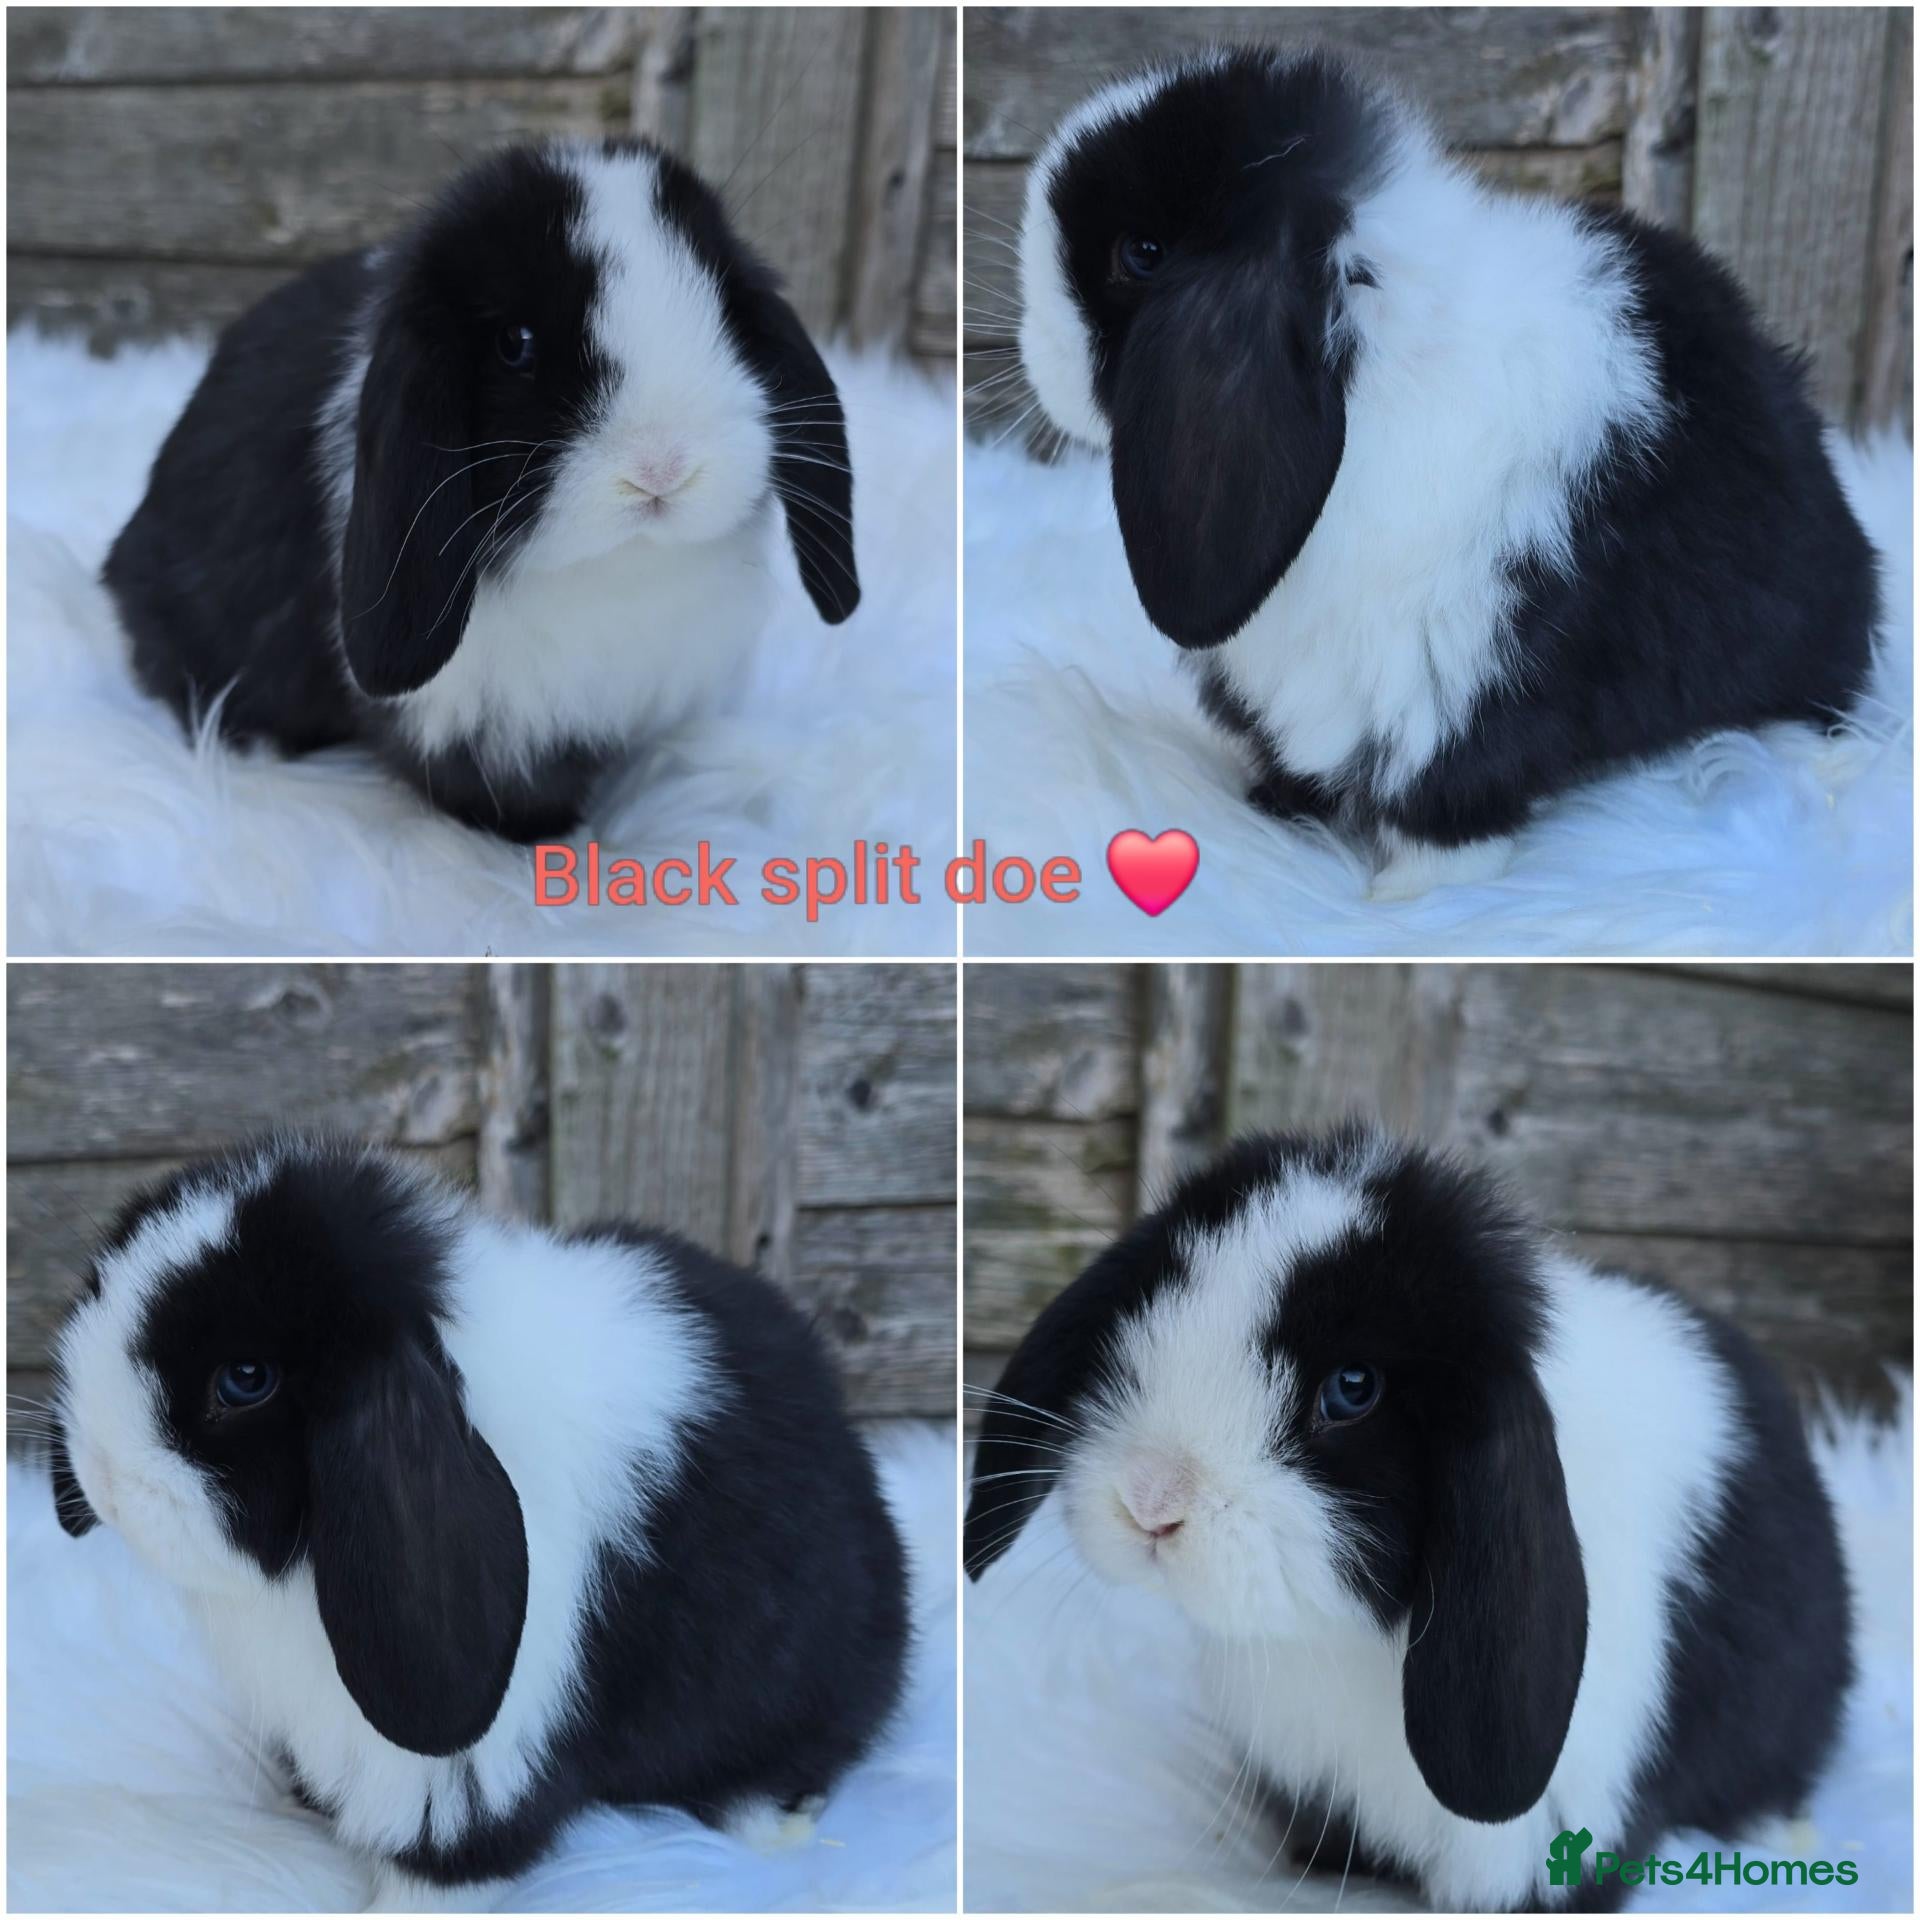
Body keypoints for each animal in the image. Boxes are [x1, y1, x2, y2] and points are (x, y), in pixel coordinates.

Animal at [1014, 47, 1879, 898]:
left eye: (1141, 254)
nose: (1031, 348)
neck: (1375, 367)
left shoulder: (1453, 679)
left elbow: (1448, 815)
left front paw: (1402, 904)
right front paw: (1277, 809)